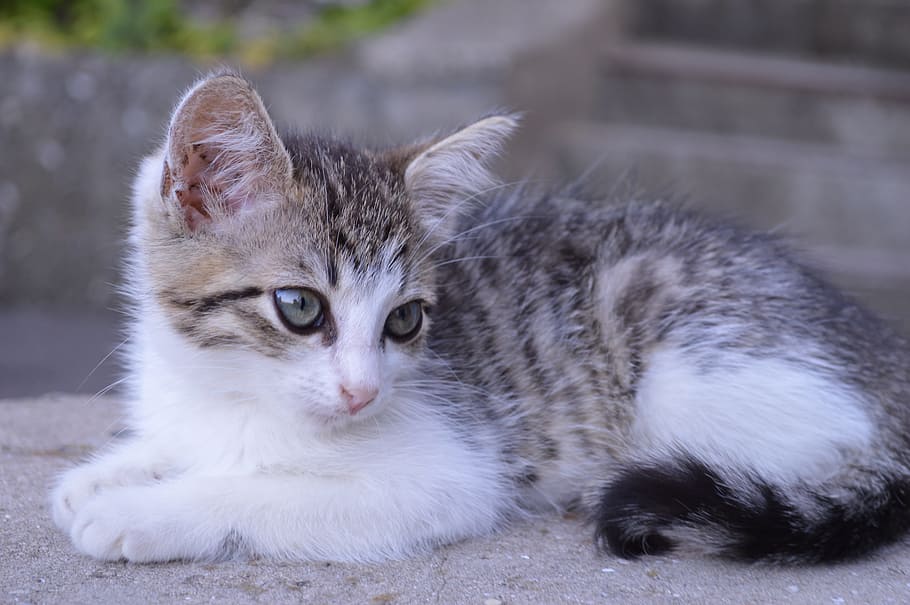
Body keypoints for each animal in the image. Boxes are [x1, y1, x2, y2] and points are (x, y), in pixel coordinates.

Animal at [51, 73, 910, 564]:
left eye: (404, 320)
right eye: (299, 307)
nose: (363, 393)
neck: (231, 388)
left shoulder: (449, 474)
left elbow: (258, 490)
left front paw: (139, 512)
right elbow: (181, 450)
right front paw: (113, 469)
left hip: (686, 365)